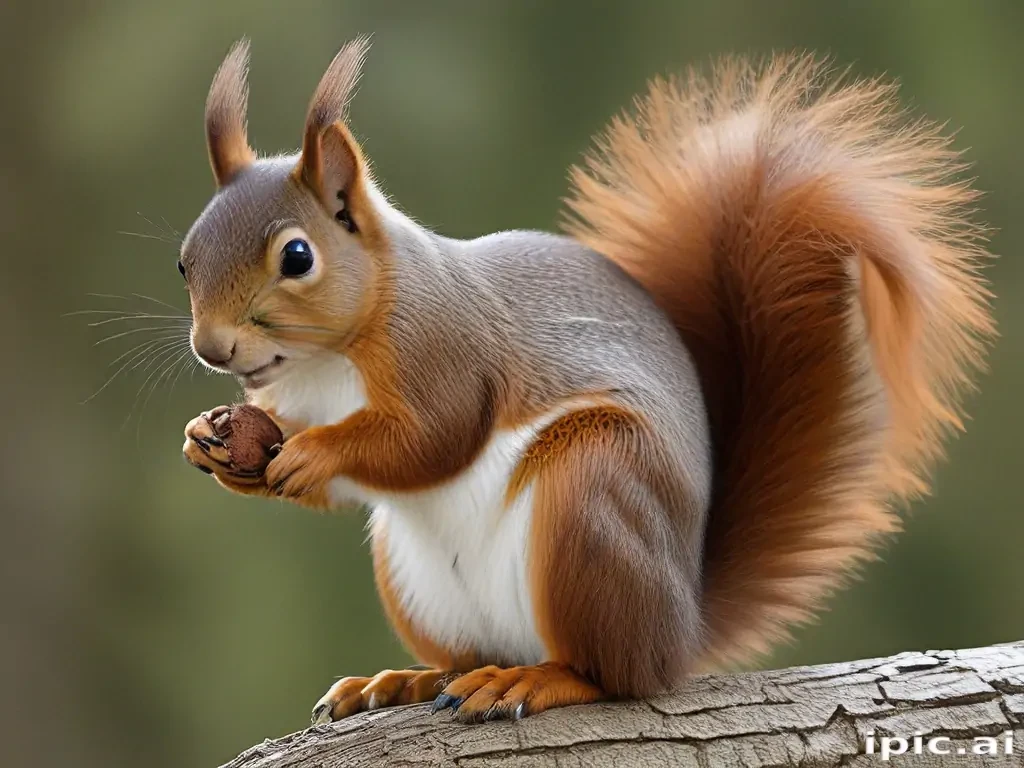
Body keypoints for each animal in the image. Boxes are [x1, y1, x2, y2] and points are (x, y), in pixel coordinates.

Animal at [180, 38, 994, 724]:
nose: (213, 348)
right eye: (185, 259)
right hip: (418, 578)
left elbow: (432, 438)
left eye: (297, 257)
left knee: (615, 675)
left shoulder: (446, 351)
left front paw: (314, 452)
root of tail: (682, 626)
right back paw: (407, 680)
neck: (324, 362)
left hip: (594, 489)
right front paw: (213, 445)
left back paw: (533, 681)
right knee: (471, 654)